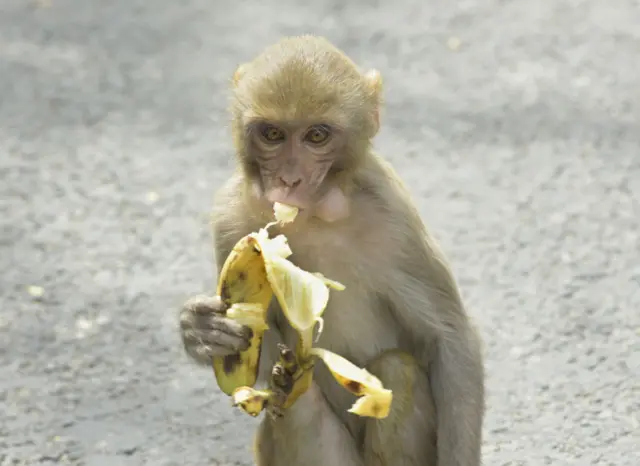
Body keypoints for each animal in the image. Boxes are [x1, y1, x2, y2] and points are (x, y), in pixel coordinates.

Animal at [179, 35, 485, 466]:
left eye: (316, 137)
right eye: (272, 134)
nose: (289, 180)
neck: (312, 218)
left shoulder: (395, 217)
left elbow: (450, 340)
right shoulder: (228, 217)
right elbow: (262, 354)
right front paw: (202, 330)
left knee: (398, 369)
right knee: (296, 401)